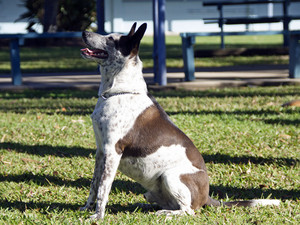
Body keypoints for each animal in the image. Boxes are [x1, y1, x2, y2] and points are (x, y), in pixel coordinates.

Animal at [80, 22, 282, 220]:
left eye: (111, 39)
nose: (84, 32)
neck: (118, 91)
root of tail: (207, 197)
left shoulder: (113, 151)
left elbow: (103, 189)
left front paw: (98, 216)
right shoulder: (101, 152)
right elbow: (94, 186)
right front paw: (87, 208)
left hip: (170, 176)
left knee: (188, 210)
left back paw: (166, 214)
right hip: (151, 190)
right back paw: (145, 207)